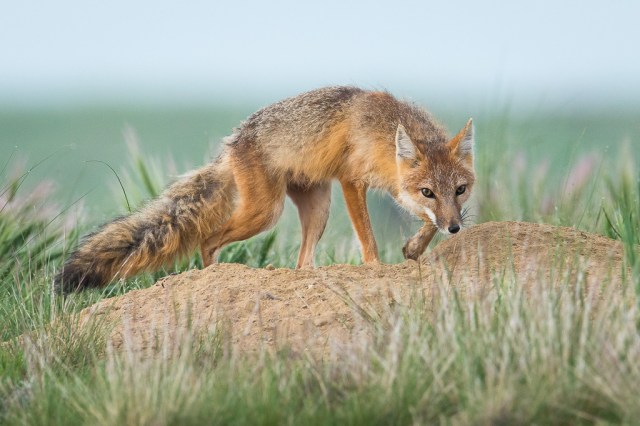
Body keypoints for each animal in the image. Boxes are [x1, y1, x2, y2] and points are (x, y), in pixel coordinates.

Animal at [55, 86, 475, 293]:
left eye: (460, 190)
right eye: (428, 191)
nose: (456, 229)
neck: (383, 130)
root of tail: (231, 142)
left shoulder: (396, 190)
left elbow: (426, 223)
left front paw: (414, 248)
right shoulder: (351, 181)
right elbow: (369, 238)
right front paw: (376, 266)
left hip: (317, 210)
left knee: (302, 262)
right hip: (264, 213)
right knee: (207, 238)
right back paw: (214, 274)